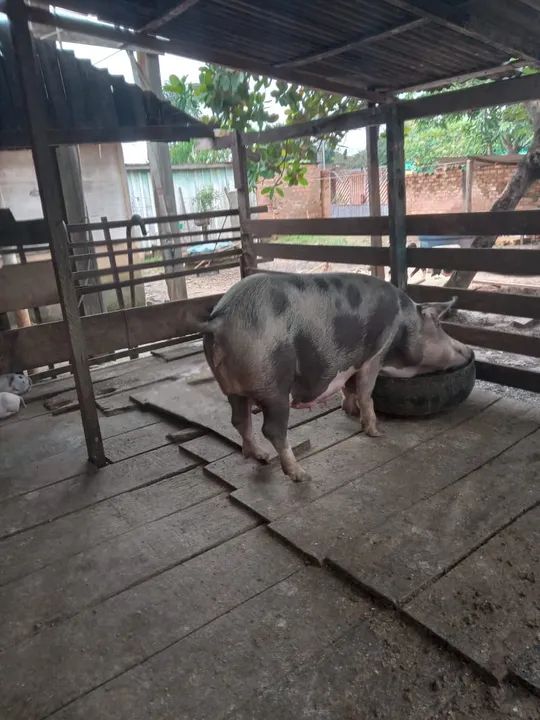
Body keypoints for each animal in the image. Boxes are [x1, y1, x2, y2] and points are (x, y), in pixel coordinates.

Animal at [200, 272, 473, 482]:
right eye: (439, 325)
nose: (470, 351)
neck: (404, 322)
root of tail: (221, 318)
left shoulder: (351, 363)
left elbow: (349, 388)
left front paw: (349, 410)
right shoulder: (375, 355)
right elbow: (366, 393)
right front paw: (376, 432)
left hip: (232, 389)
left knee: (239, 420)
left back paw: (261, 456)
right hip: (273, 387)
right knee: (272, 429)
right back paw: (301, 475)